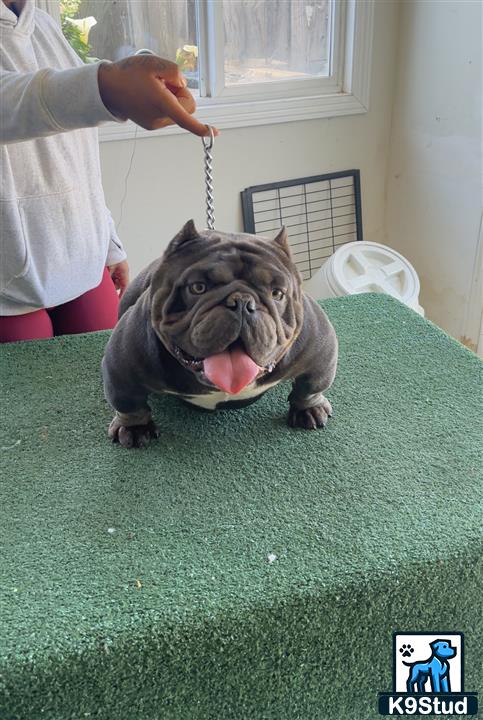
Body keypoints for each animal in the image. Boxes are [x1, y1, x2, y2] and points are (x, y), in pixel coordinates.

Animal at [103, 219, 336, 448]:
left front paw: (309, 408)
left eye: (277, 293)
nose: (242, 302)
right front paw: (135, 427)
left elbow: (312, 385)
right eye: (198, 287)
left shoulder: (320, 351)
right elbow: (128, 401)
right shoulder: (121, 366)